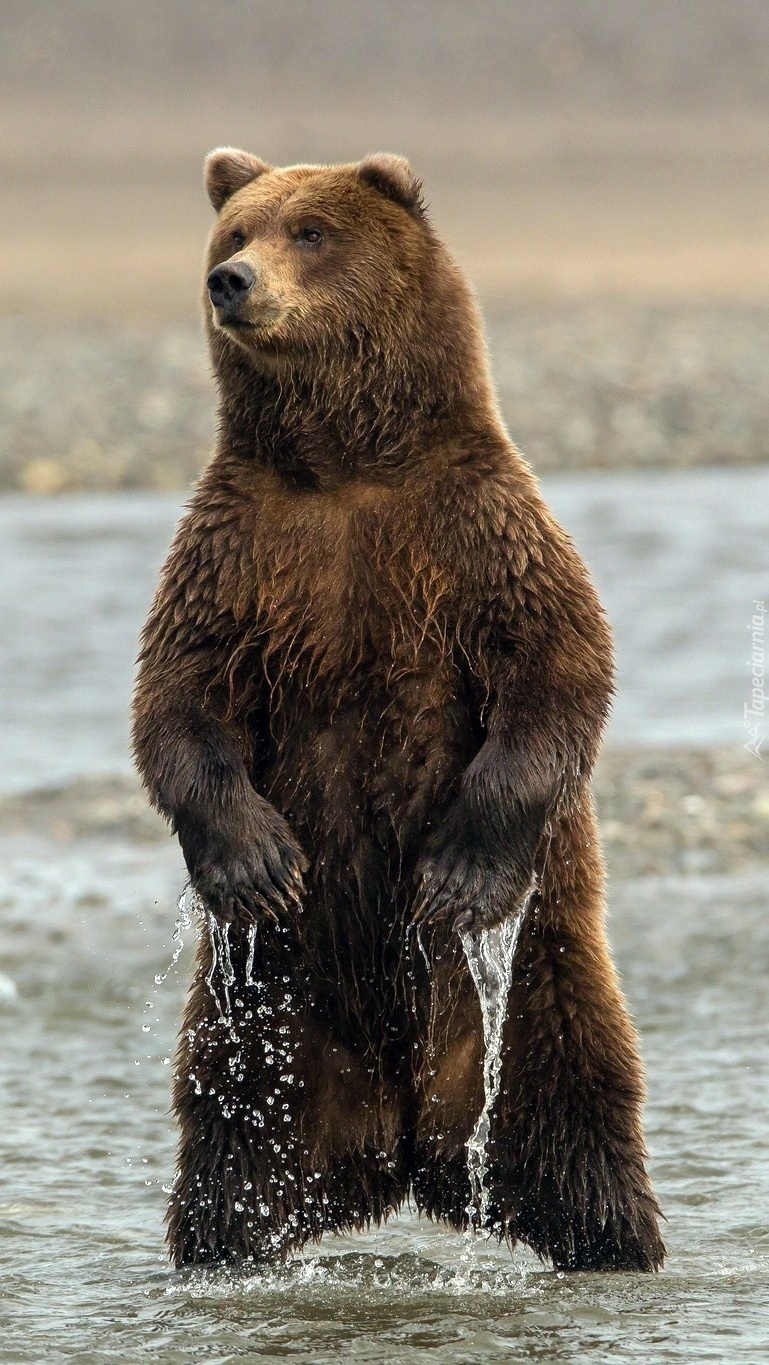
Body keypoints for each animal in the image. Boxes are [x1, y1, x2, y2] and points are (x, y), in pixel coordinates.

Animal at [131, 146, 661, 1266]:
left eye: (311, 231)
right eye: (235, 230)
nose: (231, 282)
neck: (343, 465)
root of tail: (404, 1143)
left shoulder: (476, 533)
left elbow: (558, 670)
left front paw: (457, 874)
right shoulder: (237, 554)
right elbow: (179, 700)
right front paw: (256, 862)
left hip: (539, 984)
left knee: (577, 1118)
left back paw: (616, 1244)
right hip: (265, 1020)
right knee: (230, 1146)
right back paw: (220, 1251)